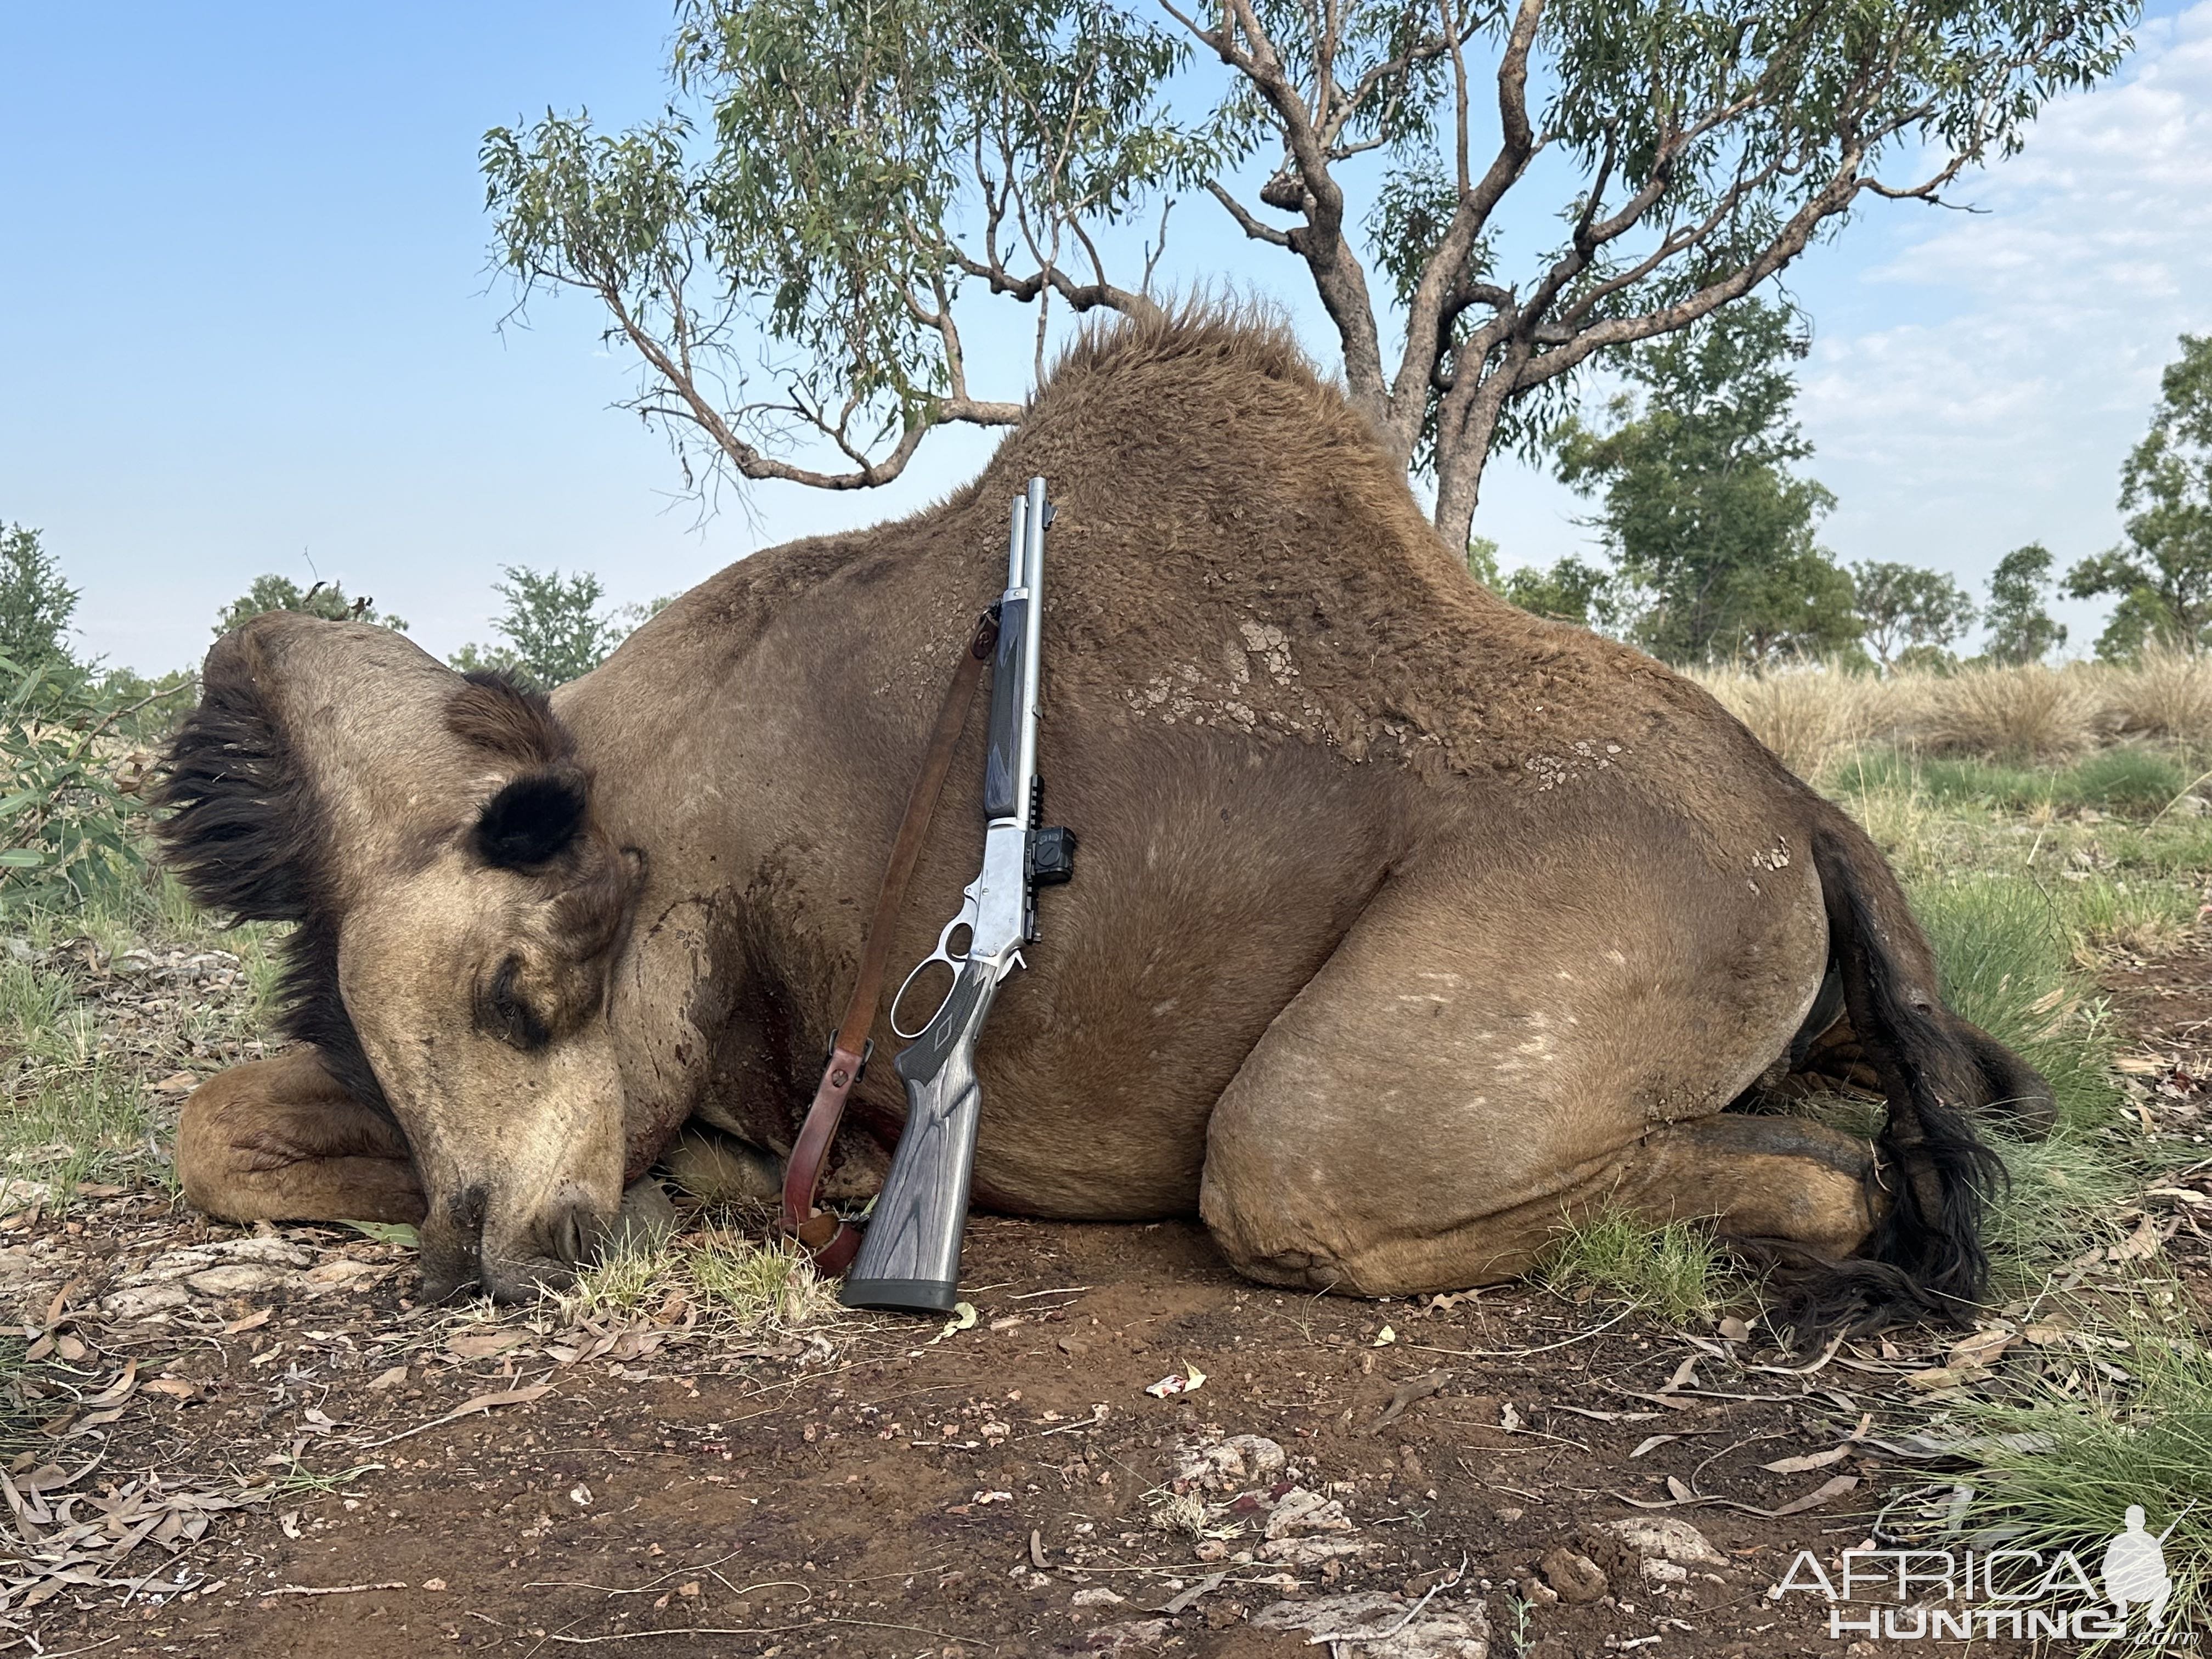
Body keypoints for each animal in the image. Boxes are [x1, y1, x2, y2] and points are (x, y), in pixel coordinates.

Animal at [160, 312, 2052, 1327]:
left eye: (530, 990)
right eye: (399, 1037)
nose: (507, 1253)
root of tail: (1795, 812)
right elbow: (213, 1128)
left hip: (1353, 1119)